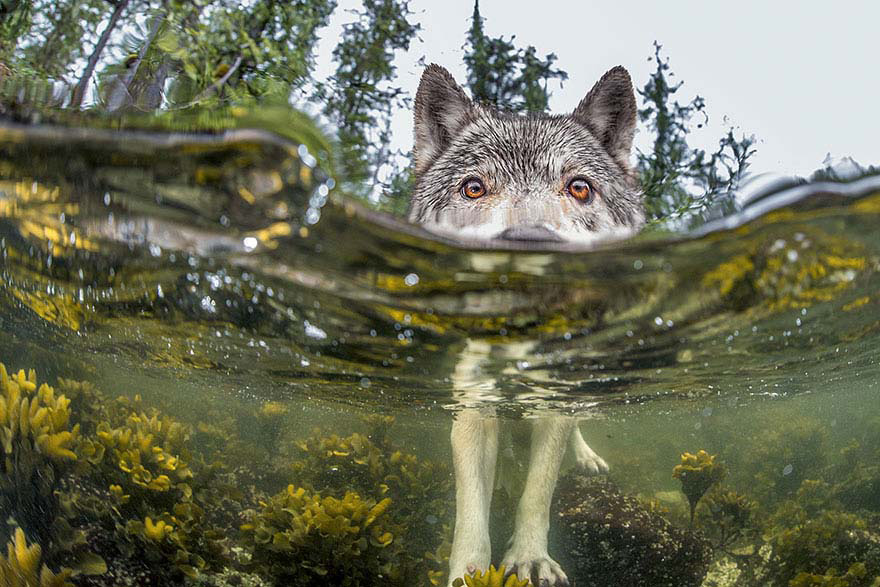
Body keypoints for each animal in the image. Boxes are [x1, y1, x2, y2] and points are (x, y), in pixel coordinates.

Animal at [410, 65, 644, 587]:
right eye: (474, 188)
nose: (529, 243)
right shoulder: (473, 406)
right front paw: (469, 572)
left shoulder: (552, 405)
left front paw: (530, 559)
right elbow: (470, 510)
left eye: (579, 188)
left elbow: (538, 492)